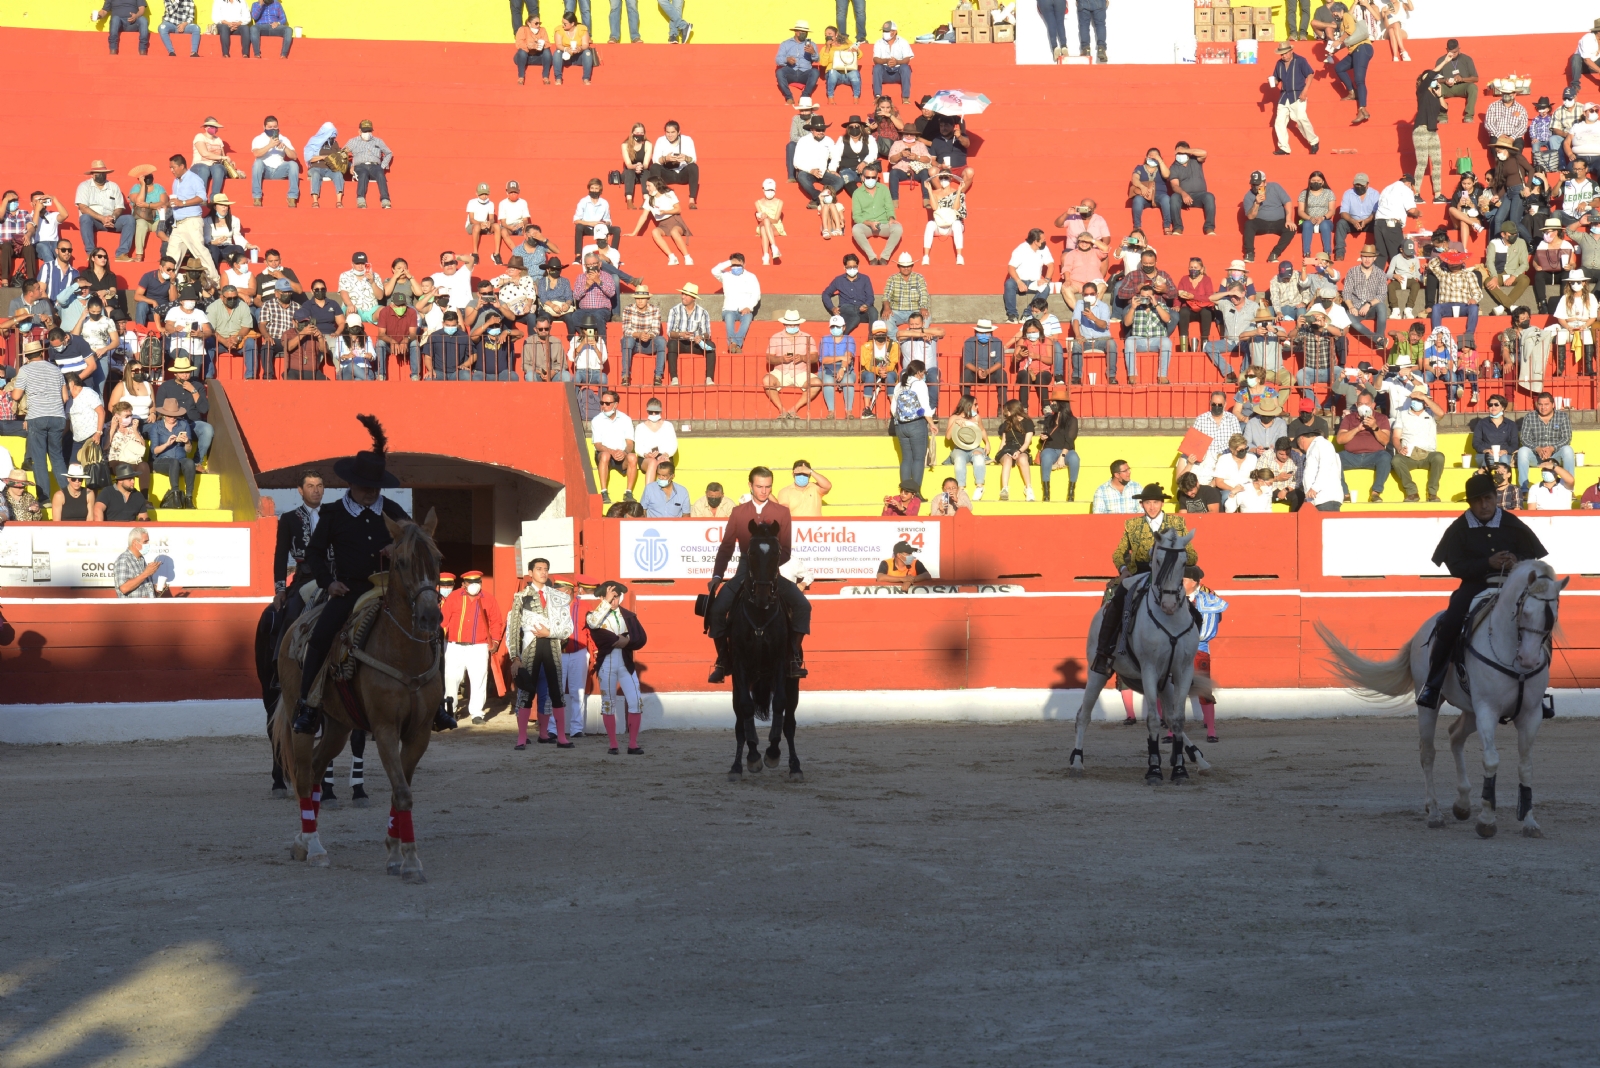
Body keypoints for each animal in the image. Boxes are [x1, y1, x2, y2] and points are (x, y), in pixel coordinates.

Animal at [268, 511, 444, 882]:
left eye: (437, 559)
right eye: (401, 562)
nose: (429, 617)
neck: (402, 652)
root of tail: (296, 627)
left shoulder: (418, 733)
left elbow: (400, 789)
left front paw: (394, 852)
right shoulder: (385, 729)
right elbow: (402, 792)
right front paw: (410, 860)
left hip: (338, 725)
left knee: (317, 768)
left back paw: (303, 840)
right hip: (301, 718)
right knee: (303, 776)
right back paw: (314, 847)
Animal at [723, 518, 800, 780]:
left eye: (776, 552)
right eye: (751, 552)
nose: (764, 595)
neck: (760, 614)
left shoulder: (780, 662)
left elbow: (780, 706)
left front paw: (773, 753)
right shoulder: (739, 666)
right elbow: (746, 708)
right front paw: (754, 757)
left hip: (792, 681)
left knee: (790, 722)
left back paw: (795, 766)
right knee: (739, 721)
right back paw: (736, 766)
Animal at [1075, 527, 1209, 783]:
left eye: (1183, 561)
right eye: (1157, 560)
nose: (1168, 604)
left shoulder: (1183, 670)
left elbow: (1178, 719)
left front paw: (1179, 769)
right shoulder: (1149, 669)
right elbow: (1153, 720)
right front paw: (1154, 769)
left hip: (1164, 682)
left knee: (1170, 717)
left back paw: (1199, 758)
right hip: (1097, 672)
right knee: (1083, 714)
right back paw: (1076, 761)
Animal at [1318, 559, 1568, 844]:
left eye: (1553, 615)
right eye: (1524, 611)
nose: (1528, 658)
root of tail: (1421, 630)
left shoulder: (1530, 714)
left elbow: (1525, 767)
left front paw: (1530, 822)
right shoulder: (1488, 710)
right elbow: (1491, 760)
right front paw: (1486, 821)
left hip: (1471, 712)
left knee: (1455, 736)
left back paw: (1462, 804)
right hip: (1431, 704)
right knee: (1427, 752)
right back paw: (1435, 813)